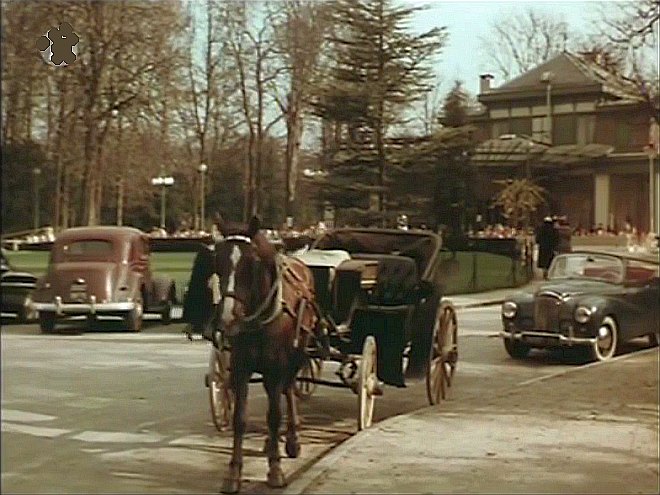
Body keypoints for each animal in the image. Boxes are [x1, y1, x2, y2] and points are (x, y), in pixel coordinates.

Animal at [213, 215, 320, 494]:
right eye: (218, 261)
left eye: (251, 264)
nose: (227, 318)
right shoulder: (240, 367)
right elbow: (239, 418)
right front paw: (234, 472)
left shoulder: (276, 367)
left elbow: (273, 416)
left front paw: (275, 469)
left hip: (296, 355)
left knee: (288, 390)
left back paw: (291, 438)